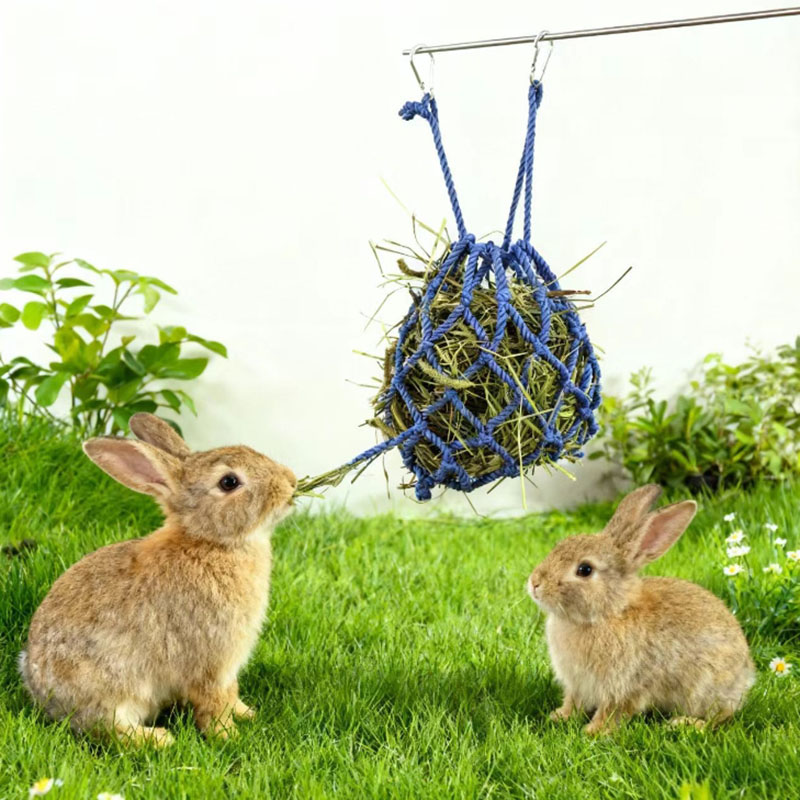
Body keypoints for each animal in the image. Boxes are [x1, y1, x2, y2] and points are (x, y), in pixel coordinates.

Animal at [19, 412, 297, 747]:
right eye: (229, 482)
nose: (291, 482)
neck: (209, 542)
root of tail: (46, 700)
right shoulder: (210, 660)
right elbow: (213, 701)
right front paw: (228, 736)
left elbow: (231, 693)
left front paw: (247, 714)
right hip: (110, 690)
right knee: (110, 730)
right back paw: (161, 740)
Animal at [527, 484, 754, 735]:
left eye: (584, 570)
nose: (534, 583)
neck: (608, 613)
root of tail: (746, 678)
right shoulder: (577, 684)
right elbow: (573, 702)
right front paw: (559, 717)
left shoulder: (624, 685)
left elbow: (613, 711)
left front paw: (593, 732)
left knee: (720, 719)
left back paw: (685, 724)